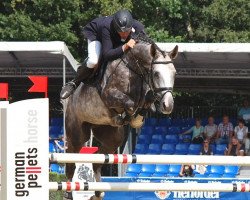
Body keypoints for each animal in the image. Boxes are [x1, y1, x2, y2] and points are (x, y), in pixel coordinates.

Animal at [64, 38, 178, 200]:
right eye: (156, 74)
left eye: (174, 73)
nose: (168, 105)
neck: (135, 70)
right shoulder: (110, 95)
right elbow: (130, 104)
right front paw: (129, 117)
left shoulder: (145, 95)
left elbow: (146, 102)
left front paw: (137, 118)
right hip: (77, 134)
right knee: (71, 160)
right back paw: (68, 192)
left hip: (110, 136)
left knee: (97, 161)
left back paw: (97, 193)